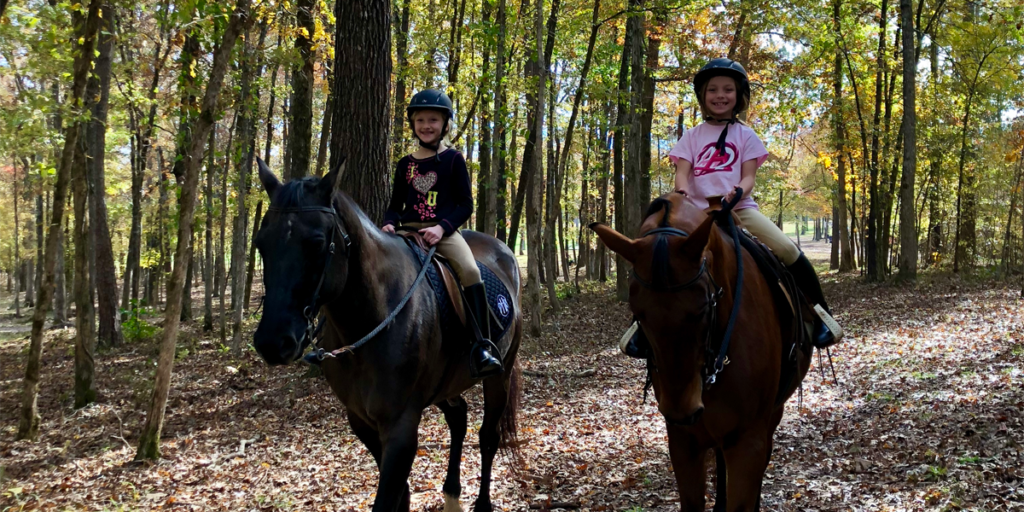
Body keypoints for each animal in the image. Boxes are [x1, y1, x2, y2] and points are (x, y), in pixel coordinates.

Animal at [247, 157, 520, 509]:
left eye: (317, 243)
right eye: (261, 243)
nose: (272, 342)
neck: (371, 321)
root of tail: (504, 252)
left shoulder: (400, 428)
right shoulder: (361, 421)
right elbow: (400, 496)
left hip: (501, 372)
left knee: (488, 436)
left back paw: (481, 502)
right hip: (446, 382)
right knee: (458, 419)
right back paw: (451, 493)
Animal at [589, 192, 811, 512]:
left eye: (704, 307)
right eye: (638, 314)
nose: (683, 411)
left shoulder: (748, 442)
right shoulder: (683, 442)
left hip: (772, 416)